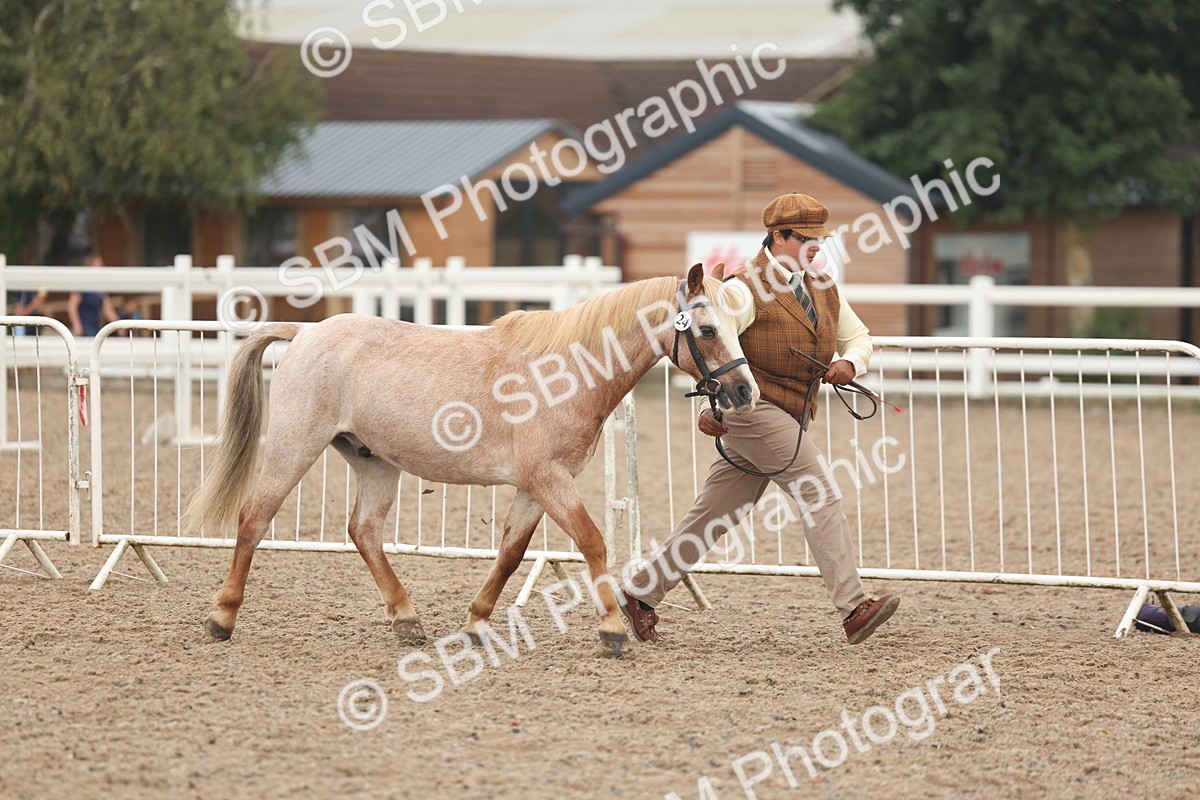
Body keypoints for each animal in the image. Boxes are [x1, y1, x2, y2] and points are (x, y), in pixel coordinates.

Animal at [183, 263, 759, 653]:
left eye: (739, 327)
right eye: (708, 329)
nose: (744, 392)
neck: (565, 371)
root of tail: (305, 332)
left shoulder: (535, 487)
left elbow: (510, 554)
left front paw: (476, 623)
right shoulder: (549, 480)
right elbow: (592, 542)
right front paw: (613, 628)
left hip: (375, 462)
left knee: (363, 531)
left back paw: (407, 619)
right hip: (293, 448)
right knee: (254, 518)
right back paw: (222, 618)